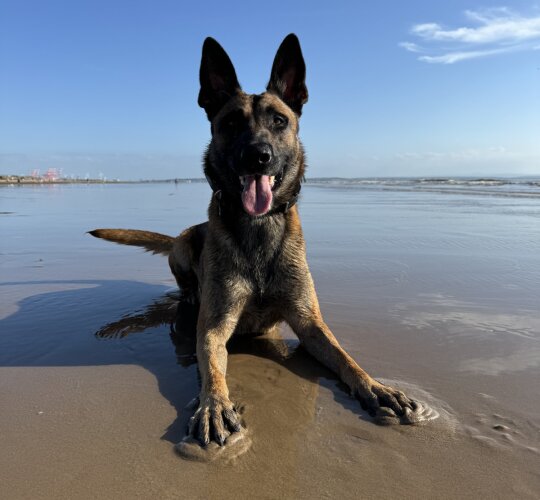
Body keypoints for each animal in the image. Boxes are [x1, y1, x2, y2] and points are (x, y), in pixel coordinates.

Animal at [88, 35, 434, 450]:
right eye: (231, 123)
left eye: (279, 121)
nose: (258, 156)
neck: (259, 228)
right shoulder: (213, 328)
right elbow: (212, 369)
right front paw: (214, 406)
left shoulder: (309, 323)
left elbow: (345, 358)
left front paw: (376, 387)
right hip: (185, 243)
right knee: (186, 277)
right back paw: (190, 293)